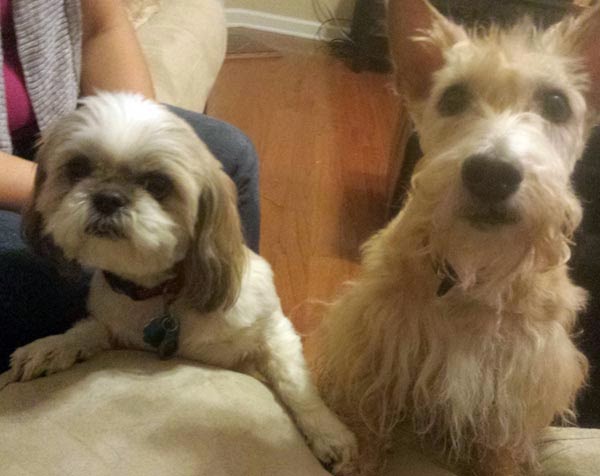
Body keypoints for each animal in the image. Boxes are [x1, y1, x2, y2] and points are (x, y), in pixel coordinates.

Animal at [8, 92, 357, 474]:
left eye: (159, 184)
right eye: (77, 169)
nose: (108, 197)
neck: (161, 292)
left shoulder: (271, 330)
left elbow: (295, 383)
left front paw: (329, 433)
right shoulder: (117, 327)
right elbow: (88, 330)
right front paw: (52, 347)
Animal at [316, 1, 600, 475]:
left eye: (556, 104)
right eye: (452, 98)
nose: (492, 174)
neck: (473, 276)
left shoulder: (522, 377)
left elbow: (501, 442)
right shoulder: (373, 340)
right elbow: (368, 412)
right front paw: (362, 459)